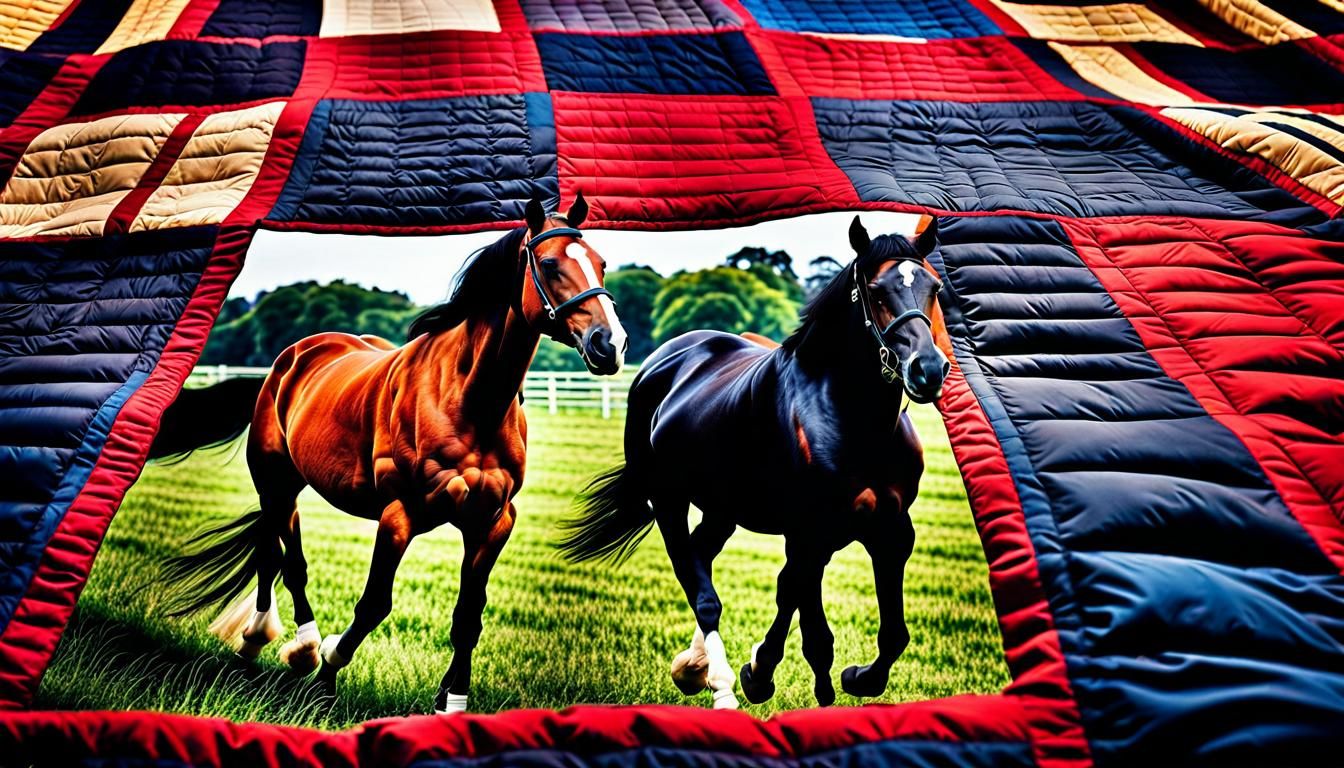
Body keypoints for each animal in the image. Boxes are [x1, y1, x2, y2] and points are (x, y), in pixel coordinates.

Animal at [147, 192, 626, 714]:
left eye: (601, 262)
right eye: (551, 263)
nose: (610, 343)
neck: (469, 400)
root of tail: (286, 362)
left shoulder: (493, 520)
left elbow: (469, 613)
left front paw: (451, 700)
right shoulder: (400, 514)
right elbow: (374, 603)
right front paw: (328, 672)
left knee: (275, 552)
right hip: (276, 481)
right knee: (282, 559)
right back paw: (288, 645)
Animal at [557, 215, 948, 709]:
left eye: (933, 286)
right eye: (877, 291)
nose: (928, 369)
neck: (852, 421)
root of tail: (660, 362)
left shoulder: (892, 531)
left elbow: (889, 634)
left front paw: (855, 677)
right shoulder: (809, 533)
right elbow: (811, 627)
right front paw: (760, 674)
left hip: (722, 511)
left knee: (703, 556)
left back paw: (693, 666)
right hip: (668, 502)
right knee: (695, 579)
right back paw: (716, 678)